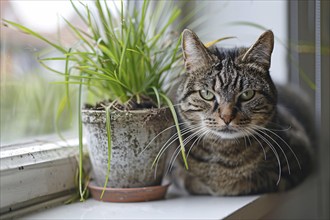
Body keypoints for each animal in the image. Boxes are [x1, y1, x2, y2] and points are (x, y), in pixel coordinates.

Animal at [171, 28, 314, 195]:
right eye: (206, 94)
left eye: (247, 94)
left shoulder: (299, 158)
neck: (225, 152)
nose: (226, 117)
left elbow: (252, 181)